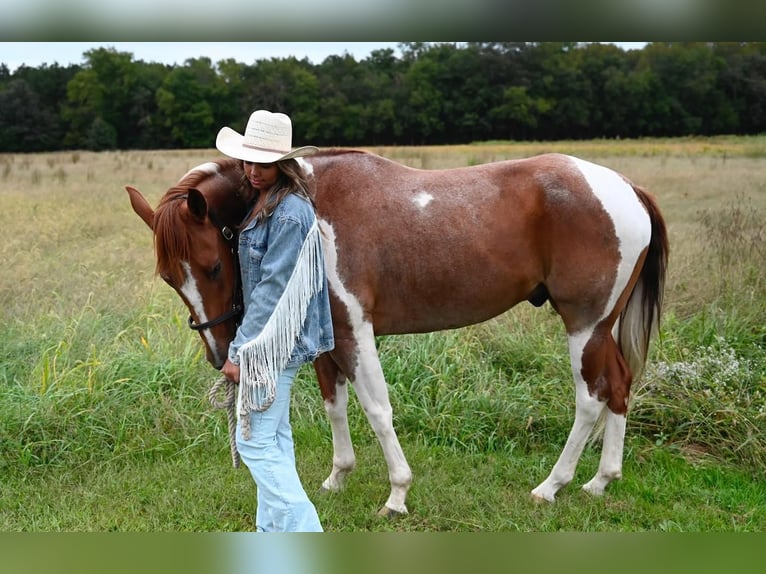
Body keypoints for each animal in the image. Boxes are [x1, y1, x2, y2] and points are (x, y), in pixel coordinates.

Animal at [124, 148, 664, 516]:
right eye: (169, 278)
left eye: (214, 266)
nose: (220, 353)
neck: (310, 207)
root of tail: (625, 187)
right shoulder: (327, 338)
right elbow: (335, 406)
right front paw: (337, 478)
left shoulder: (354, 332)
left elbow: (378, 410)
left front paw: (398, 493)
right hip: (603, 329)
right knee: (619, 386)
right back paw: (600, 482)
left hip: (585, 326)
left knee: (591, 398)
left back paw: (552, 486)